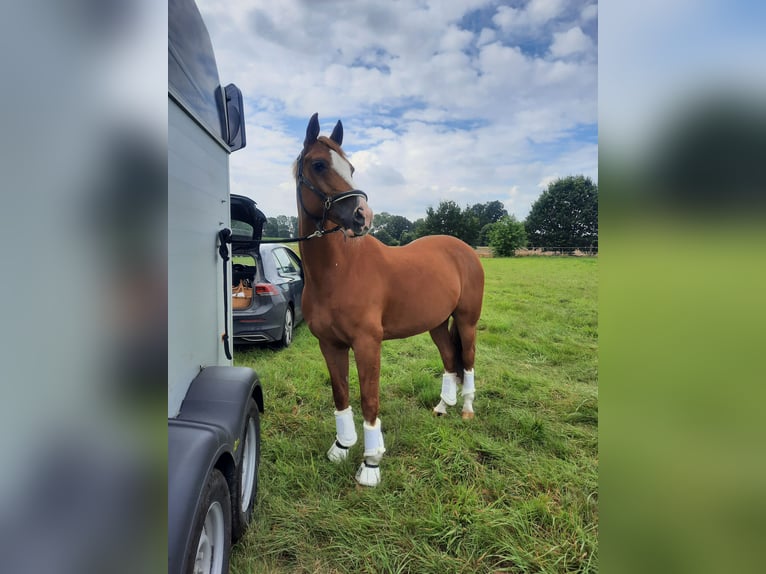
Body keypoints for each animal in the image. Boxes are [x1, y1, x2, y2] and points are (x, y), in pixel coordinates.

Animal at [296, 115, 486, 488]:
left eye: (351, 167)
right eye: (319, 164)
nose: (362, 216)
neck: (339, 271)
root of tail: (466, 250)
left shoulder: (368, 344)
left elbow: (369, 400)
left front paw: (370, 464)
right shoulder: (329, 344)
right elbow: (341, 395)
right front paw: (342, 447)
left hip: (467, 321)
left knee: (468, 360)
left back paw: (467, 409)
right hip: (437, 323)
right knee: (449, 359)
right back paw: (443, 406)